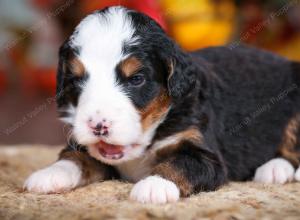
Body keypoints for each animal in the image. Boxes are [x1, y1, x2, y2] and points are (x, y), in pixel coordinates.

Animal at [24, 6, 300, 204]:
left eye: (136, 79)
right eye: (76, 80)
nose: (97, 126)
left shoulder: (204, 153)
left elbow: (180, 163)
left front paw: (154, 184)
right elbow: (74, 158)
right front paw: (49, 174)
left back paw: (275, 169)